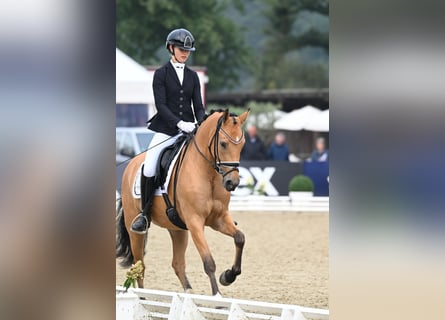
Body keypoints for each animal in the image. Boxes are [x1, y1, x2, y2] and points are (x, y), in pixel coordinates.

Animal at [115, 109, 250, 296]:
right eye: (223, 144)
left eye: (242, 144)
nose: (232, 183)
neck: (207, 173)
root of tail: (131, 164)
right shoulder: (195, 222)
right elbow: (208, 262)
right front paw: (217, 296)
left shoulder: (219, 219)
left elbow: (240, 238)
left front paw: (228, 276)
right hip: (134, 228)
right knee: (139, 265)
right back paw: (143, 297)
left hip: (177, 228)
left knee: (177, 264)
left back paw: (188, 292)